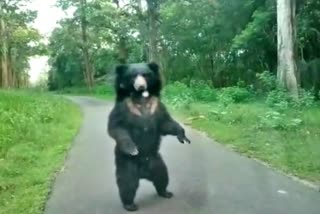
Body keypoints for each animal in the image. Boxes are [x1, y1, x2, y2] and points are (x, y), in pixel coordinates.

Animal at [107, 62, 190, 212]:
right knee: (127, 184)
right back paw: (130, 204)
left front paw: (182, 135)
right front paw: (132, 148)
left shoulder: (158, 106)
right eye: (133, 76)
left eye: (145, 75)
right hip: (126, 164)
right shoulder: (122, 108)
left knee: (162, 176)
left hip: (156, 162)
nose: (141, 86)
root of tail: (143, 173)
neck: (142, 98)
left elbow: (165, 123)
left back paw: (166, 192)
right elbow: (116, 127)